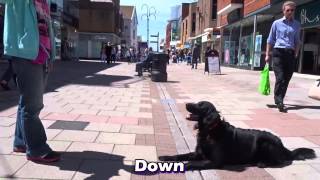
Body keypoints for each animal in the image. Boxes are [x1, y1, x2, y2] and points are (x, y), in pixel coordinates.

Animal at [159, 101, 316, 170]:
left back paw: (262, 162)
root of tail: (283, 145)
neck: (209, 131)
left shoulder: (214, 161)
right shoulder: (198, 153)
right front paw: (165, 157)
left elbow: (189, 163)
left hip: (265, 142)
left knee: (279, 161)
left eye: (200, 105)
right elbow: (179, 156)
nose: (186, 104)